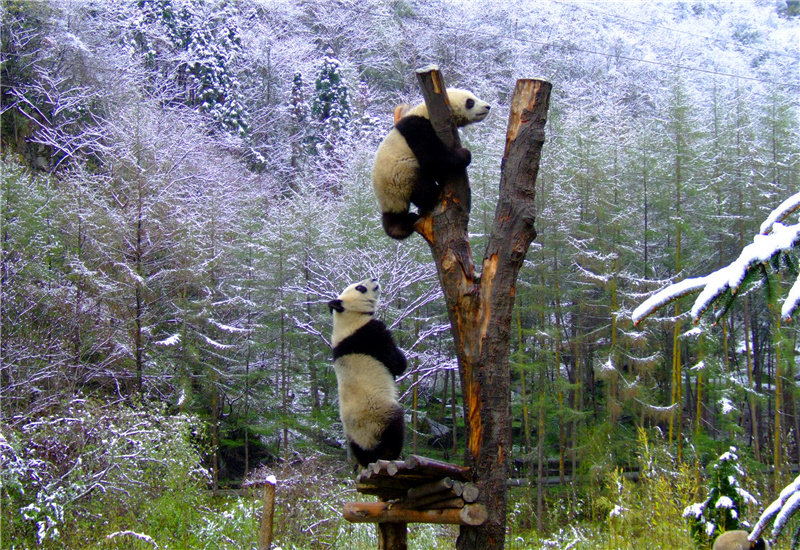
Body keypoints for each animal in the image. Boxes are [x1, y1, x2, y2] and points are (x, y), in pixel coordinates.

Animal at [327, 278, 406, 468]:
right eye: (360, 287)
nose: (374, 279)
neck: (350, 315)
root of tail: (367, 442)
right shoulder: (369, 335)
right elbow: (395, 363)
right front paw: (401, 360)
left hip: (353, 435)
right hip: (379, 412)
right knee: (395, 428)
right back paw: (392, 453)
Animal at [371, 88, 491, 240]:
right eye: (470, 102)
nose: (487, 106)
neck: (425, 111)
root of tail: (386, 203)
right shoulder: (417, 127)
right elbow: (433, 159)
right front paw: (465, 154)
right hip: (402, 175)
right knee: (422, 187)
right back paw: (432, 196)